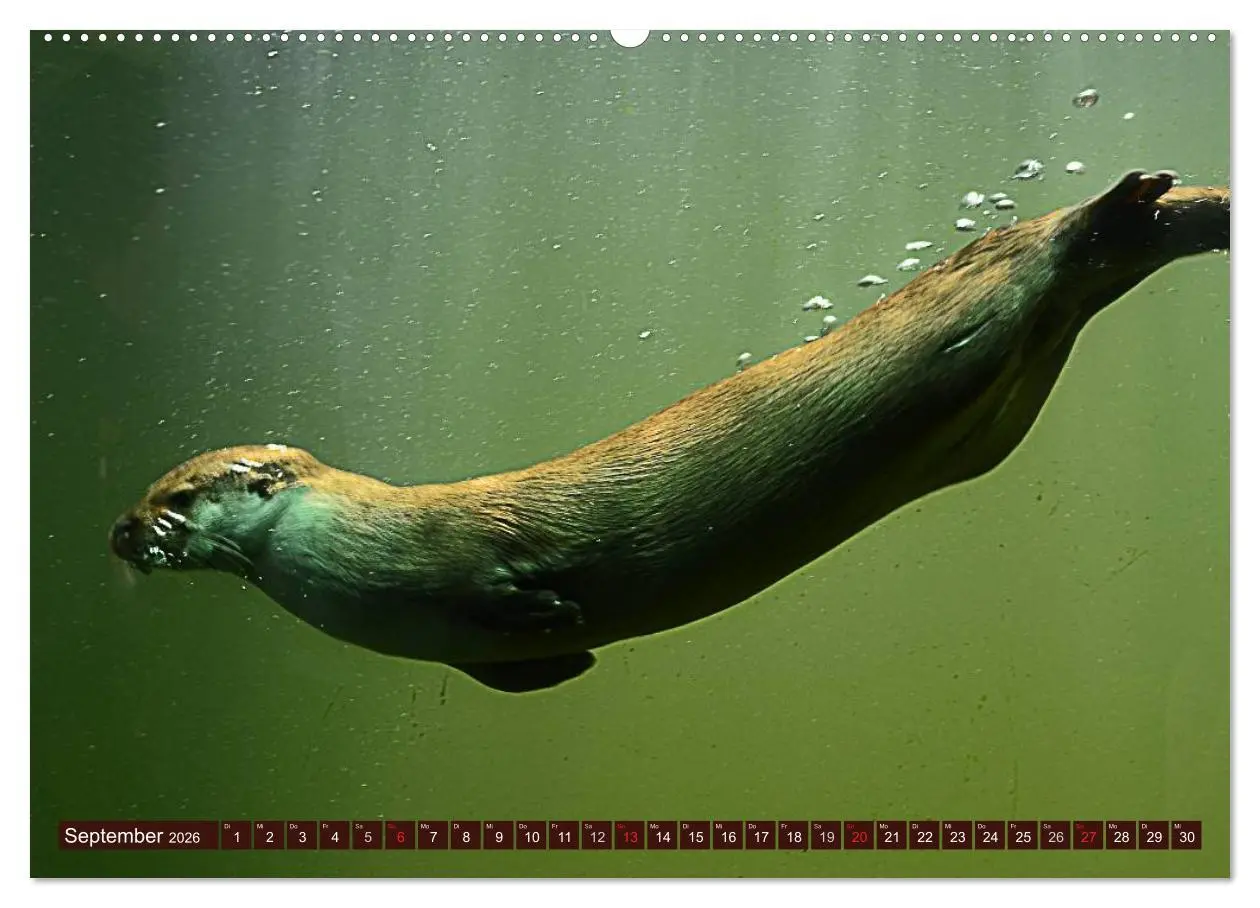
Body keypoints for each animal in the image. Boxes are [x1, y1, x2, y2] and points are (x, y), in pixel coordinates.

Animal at [110, 169, 1229, 693]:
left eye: (177, 494)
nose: (119, 529)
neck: (354, 551)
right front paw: (563, 655)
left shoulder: (459, 549)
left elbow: (507, 579)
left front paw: (551, 606)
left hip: (975, 304)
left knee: (1046, 247)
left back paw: (1117, 206)